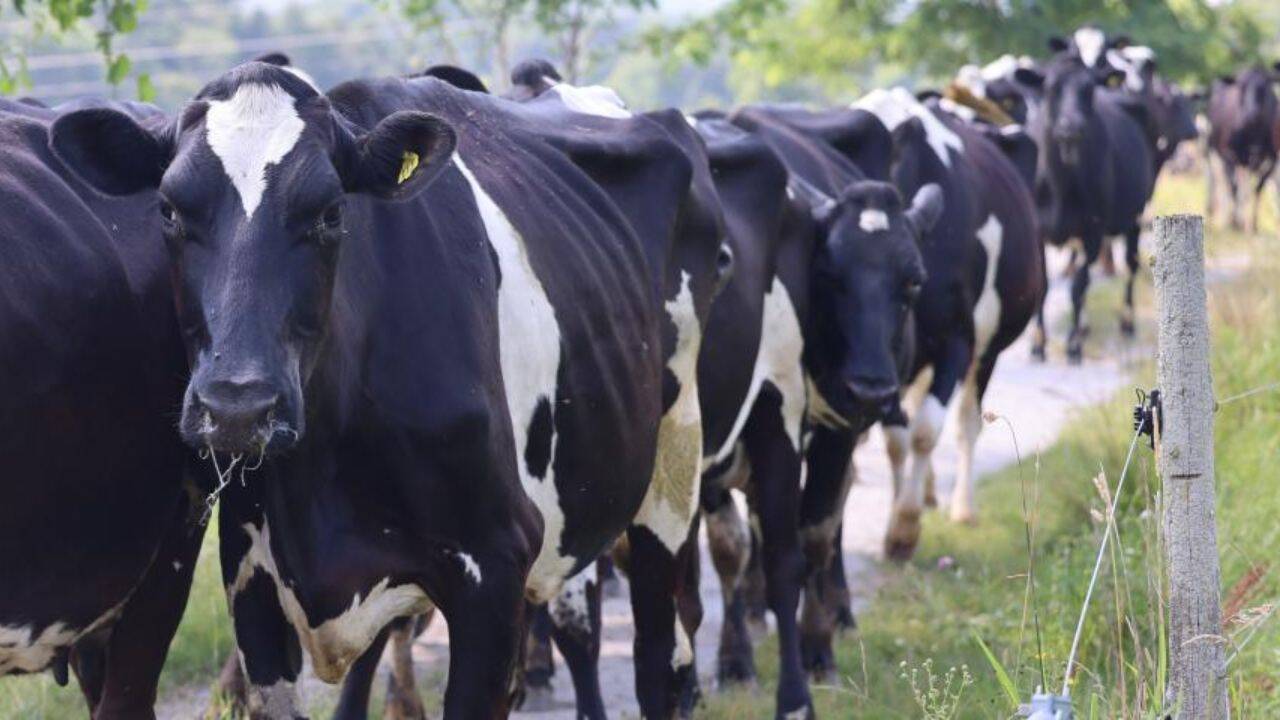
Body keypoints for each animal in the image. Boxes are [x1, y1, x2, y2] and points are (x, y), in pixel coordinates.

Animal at [50, 61, 723, 719]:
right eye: (168, 211)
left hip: (673, 467)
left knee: (658, 659)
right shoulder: (253, 582)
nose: (237, 408)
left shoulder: (496, 562)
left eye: (330, 213)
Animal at [850, 88, 1044, 560]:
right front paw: (899, 513)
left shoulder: (958, 339)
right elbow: (898, 438)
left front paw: (905, 527)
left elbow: (925, 431)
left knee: (966, 423)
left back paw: (961, 508)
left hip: (986, 348)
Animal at [1205, 63, 1280, 232]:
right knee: (1225, 184)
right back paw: (1229, 218)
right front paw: (1234, 222)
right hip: (1216, 152)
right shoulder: (1228, 154)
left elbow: (1258, 187)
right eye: (1241, 87)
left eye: (1264, 86)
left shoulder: (1272, 158)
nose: (1252, 113)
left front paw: (1253, 224)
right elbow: (1233, 187)